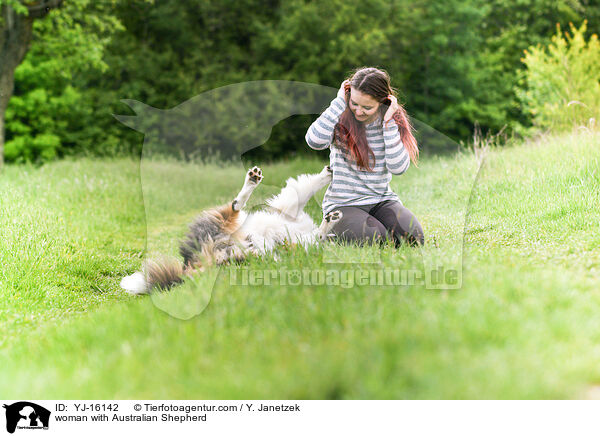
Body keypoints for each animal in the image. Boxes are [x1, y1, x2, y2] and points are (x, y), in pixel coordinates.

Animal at [119, 165, 342, 294]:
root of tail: (189, 266)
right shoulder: (290, 213)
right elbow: (306, 190)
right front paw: (328, 175)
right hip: (222, 224)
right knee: (235, 206)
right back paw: (251, 180)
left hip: (243, 252)